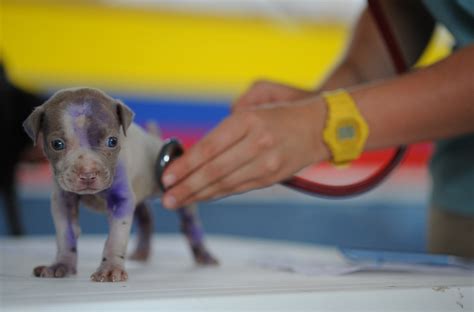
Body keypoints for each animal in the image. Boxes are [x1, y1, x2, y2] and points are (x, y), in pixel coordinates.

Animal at [21, 87, 216, 282]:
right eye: (57, 144)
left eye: (113, 141)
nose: (87, 174)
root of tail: (154, 139)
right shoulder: (63, 201)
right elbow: (65, 235)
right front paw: (61, 265)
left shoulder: (121, 200)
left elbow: (115, 238)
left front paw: (110, 268)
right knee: (146, 217)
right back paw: (142, 252)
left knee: (189, 222)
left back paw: (204, 255)